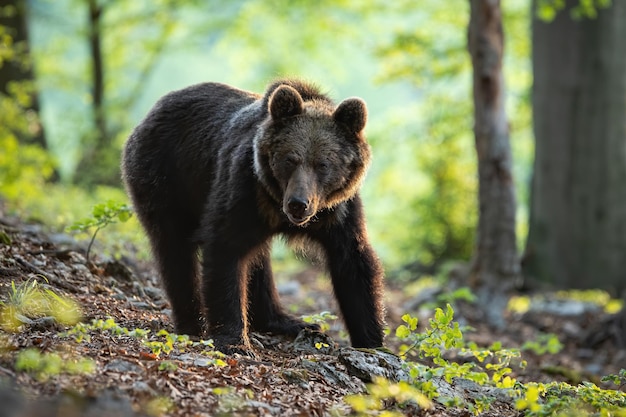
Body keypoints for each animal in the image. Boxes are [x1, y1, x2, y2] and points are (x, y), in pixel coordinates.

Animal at [121, 78, 382, 352]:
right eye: (290, 159)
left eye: (323, 164)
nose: (298, 204)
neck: (275, 202)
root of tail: (153, 110)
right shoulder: (244, 188)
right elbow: (225, 249)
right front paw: (234, 339)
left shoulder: (339, 212)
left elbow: (353, 262)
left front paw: (372, 341)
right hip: (166, 177)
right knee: (174, 250)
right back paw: (191, 323)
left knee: (258, 260)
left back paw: (287, 321)